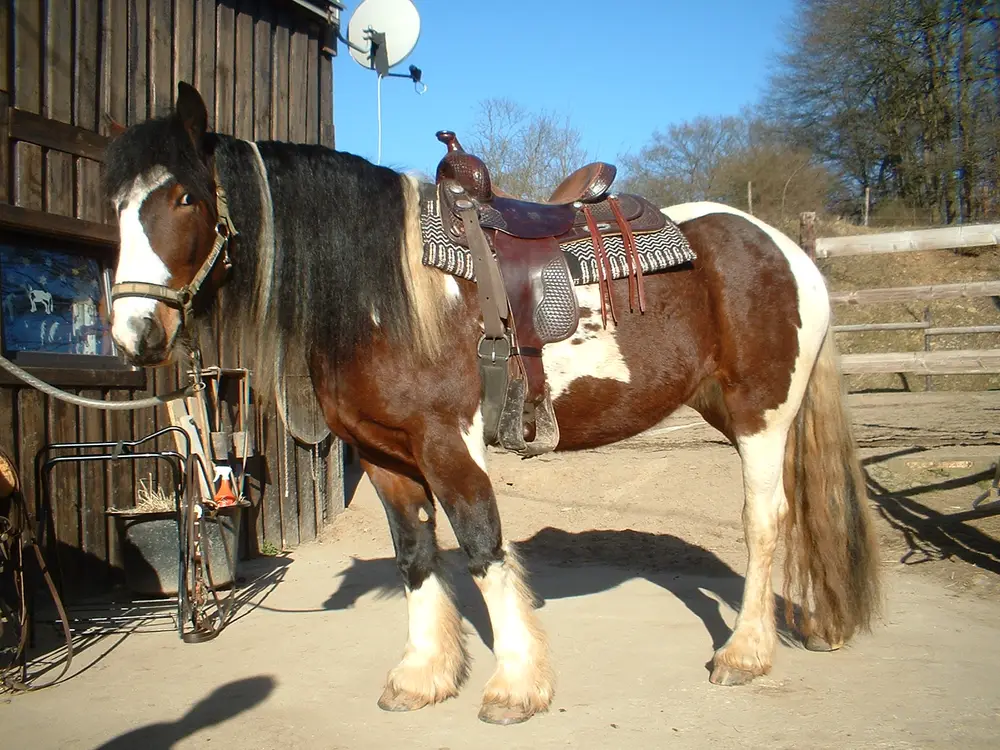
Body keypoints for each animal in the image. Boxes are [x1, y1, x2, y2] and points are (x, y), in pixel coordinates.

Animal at [102, 82, 881, 725]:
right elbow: (415, 554)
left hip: (761, 418)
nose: (134, 333)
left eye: (184, 198)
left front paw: (515, 686)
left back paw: (745, 653)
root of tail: (785, 248)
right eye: (115, 205)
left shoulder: (448, 442)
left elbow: (481, 546)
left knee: (765, 522)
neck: (389, 294)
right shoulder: (384, 455)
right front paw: (422, 677)